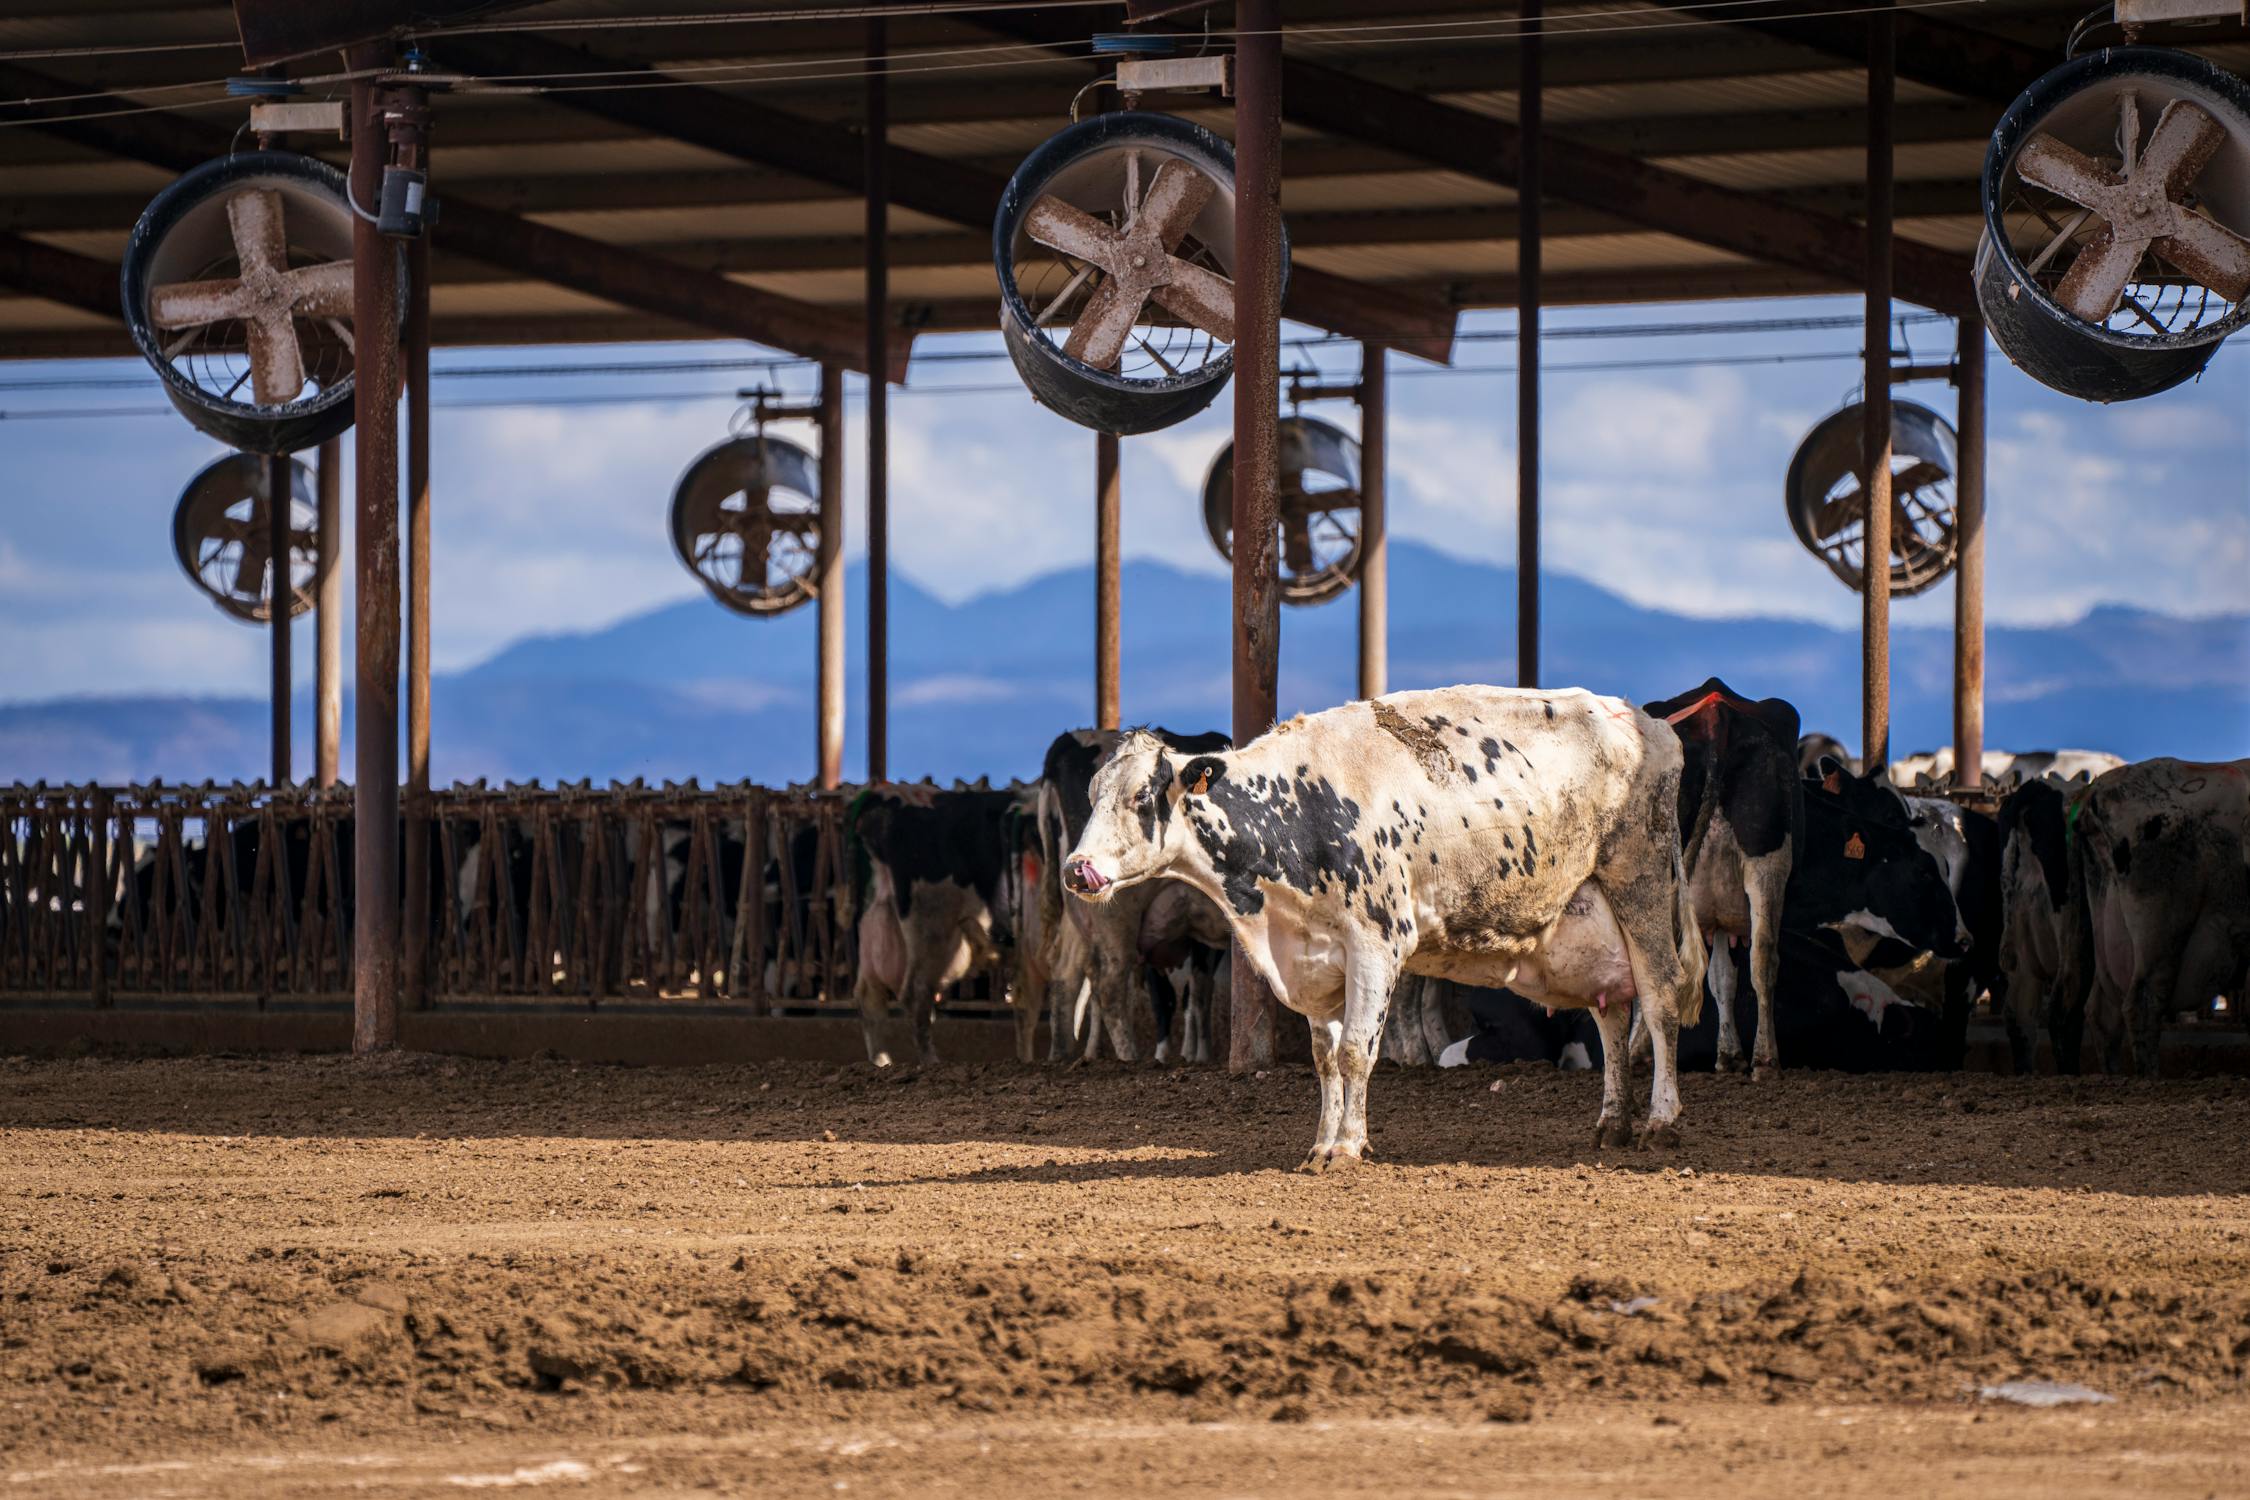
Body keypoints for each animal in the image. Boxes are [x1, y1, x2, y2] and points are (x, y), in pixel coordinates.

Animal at [847, 786, 1016, 1067]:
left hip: (877, 923)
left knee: (870, 998)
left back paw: (883, 1063)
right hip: (934, 929)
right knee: (915, 993)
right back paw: (931, 1062)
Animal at [1036, 727, 1230, 1062]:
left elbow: (1198, 992)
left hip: (1079, 910)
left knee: (1065, 973)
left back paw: (1060, 1056)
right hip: (1115, 915)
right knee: (1110, 985)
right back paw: (1130, 1058)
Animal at [1061, 688, 1706, 1168]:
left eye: (1142, 796)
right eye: (1092, 794)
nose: (1076, 868)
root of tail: (1647, 722)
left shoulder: (1377, 941)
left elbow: (1355, 1052)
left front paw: (1347, 1147)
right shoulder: (1315, 959)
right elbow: (1325, 1058)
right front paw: (1322, 1143)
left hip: (1641, 882)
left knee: (1659, 999)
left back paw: (1661, 1122)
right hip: (1592, 917)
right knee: (1611, 1013)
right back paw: (1612, 1123)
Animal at [1645, 679, 1800, 1077]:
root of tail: (1715, 712)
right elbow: (1723, 978)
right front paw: (1730, 1055)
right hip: (1766, 861)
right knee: (1763, 957)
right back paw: (1764, 1058)